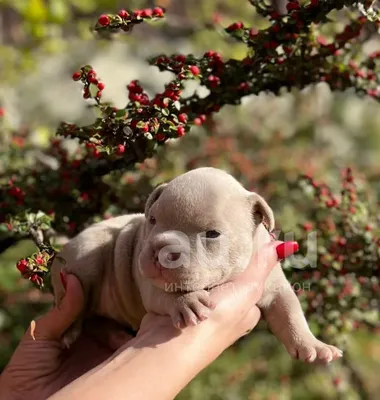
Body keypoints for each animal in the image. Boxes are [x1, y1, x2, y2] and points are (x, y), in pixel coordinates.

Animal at [49, 166, 342, 362]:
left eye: (212, 234)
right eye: (152, 220)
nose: (161, 249)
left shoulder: (274, 284)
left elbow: (290, 313)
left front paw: (313, 345)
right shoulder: (148, 284)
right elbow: (165, 294)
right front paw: (186, 302)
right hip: (85, 257)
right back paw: (71, 331)